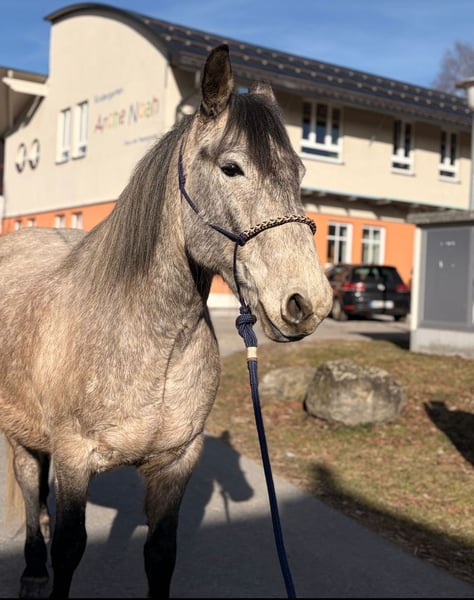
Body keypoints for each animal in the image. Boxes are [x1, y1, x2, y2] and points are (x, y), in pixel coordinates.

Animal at [0, 44, 332, 598]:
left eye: (300, 173)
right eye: (232, 168)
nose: (307, 302)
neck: (149, 341)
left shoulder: (176, 463)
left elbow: (161, 555)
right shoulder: (73, 459)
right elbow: (69, 549)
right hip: (20, 430)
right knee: (28, 483)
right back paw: (31, 568)